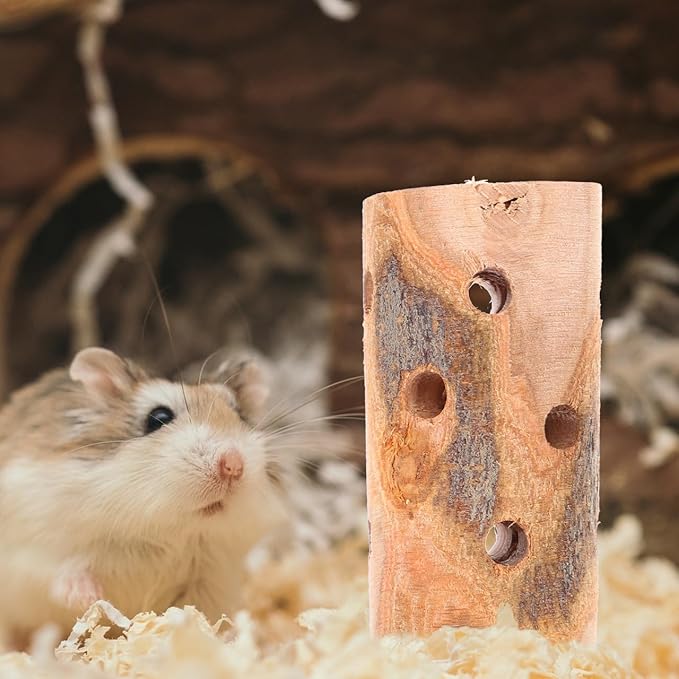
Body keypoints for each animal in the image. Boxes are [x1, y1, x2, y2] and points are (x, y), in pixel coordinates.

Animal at [0, 347, 287, 647]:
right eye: (158, 418)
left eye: (239, 415)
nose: (233, 465)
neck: (166, 529)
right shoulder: (34, 550)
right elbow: (62, 572)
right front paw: (90, 598)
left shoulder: (211, 580)